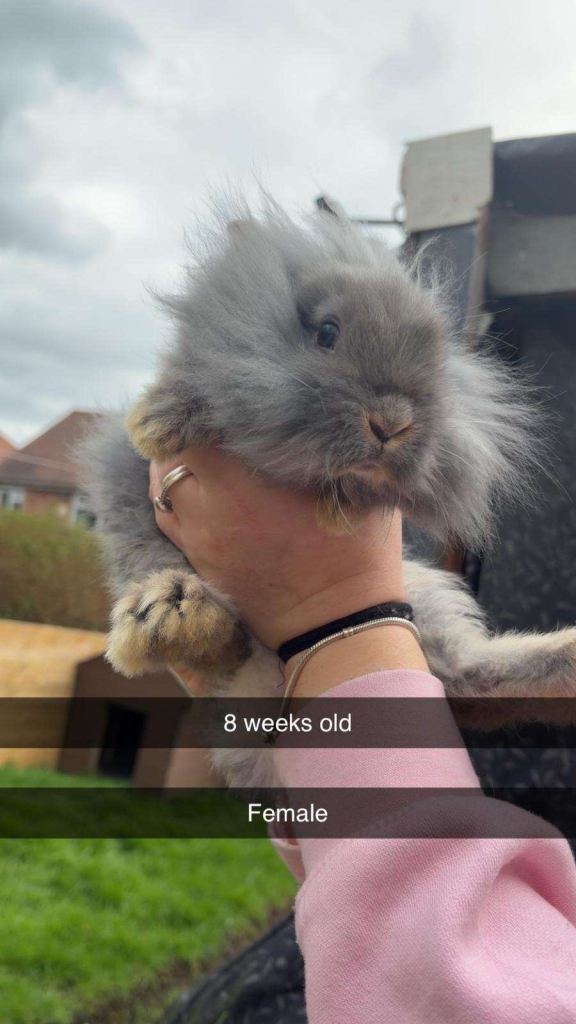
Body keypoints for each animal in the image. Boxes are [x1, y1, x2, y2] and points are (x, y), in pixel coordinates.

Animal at [82, 195, 576, 788]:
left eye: (435, 355)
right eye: (326, 333)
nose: (392, 423)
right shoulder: (129, 479)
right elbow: (141, 544)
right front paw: (159, 419)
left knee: (465, 677)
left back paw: (567, 659)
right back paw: (188, 620)